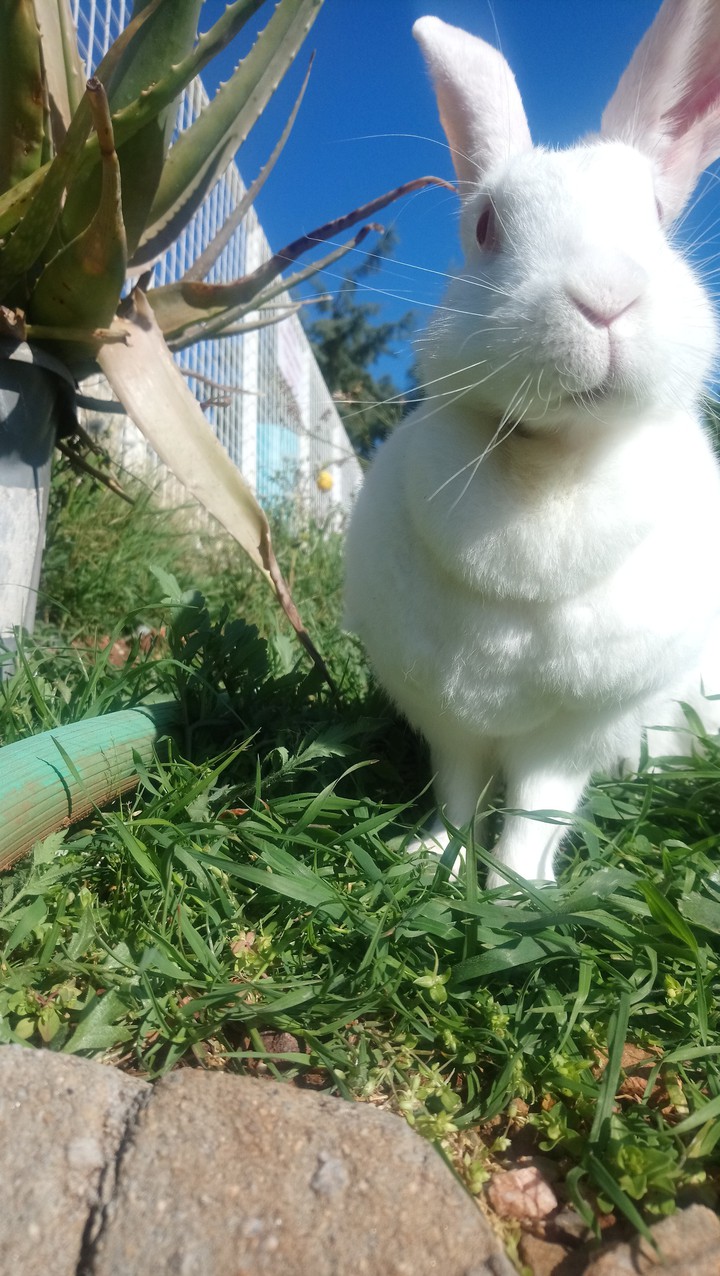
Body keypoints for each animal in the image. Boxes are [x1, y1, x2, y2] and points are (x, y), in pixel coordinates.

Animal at [343, 0, 720, 890]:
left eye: (657, 218)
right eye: (485, 226)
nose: (605, 299)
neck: (551, 458)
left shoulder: (571, 732)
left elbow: (533, 813)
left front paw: (515, 895)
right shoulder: (450, 716)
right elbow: (458, 795)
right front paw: (431, 865)